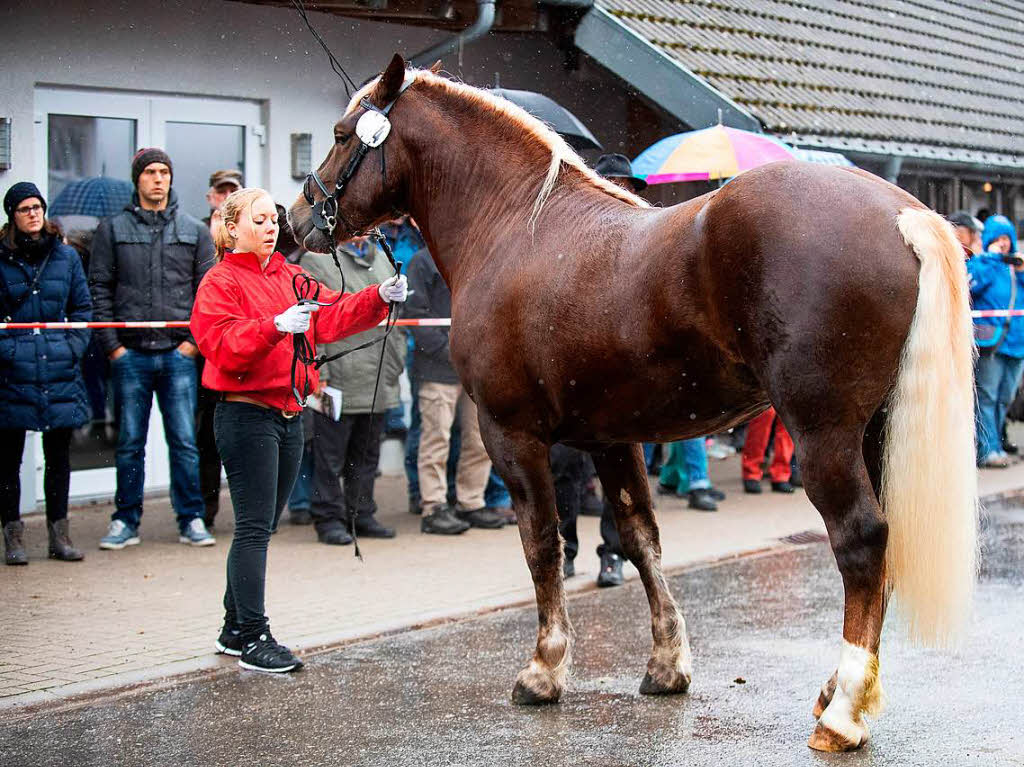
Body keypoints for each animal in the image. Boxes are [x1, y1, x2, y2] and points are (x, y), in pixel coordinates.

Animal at [288, 56, 974, 749]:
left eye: (343, 134)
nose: (296, 221)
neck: (515, 227)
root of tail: (901, 213)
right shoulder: (611, 439)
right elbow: (640, 539)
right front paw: (668, 666)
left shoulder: (512, 435)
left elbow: (543, 543)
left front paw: (543, 671)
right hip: (874, 432)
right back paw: (835, 693)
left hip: (823, 435)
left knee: (861, 541)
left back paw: (842, 714)